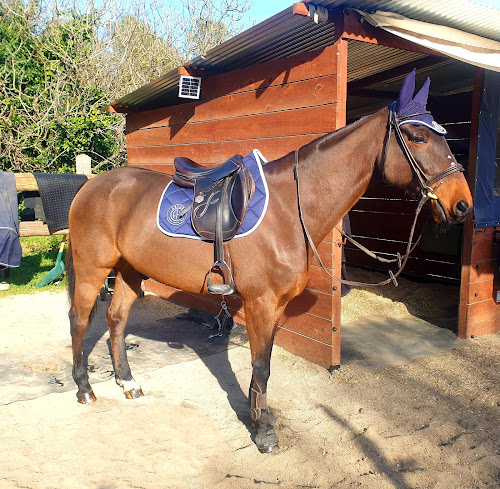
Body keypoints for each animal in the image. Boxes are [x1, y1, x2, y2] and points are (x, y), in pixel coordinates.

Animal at [66, 70, 472, 452]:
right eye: (417, 137)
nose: (462, 205)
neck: (288, 209)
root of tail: (91, 185)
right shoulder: (260, 303)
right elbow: (260, 365)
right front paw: (263, 433)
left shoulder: (275, 306)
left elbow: (265, 368)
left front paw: (261, 416)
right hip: (91, 271)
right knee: (80, 320)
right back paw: (84, 388)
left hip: (129, 272)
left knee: (116, 320)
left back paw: (128, 382)